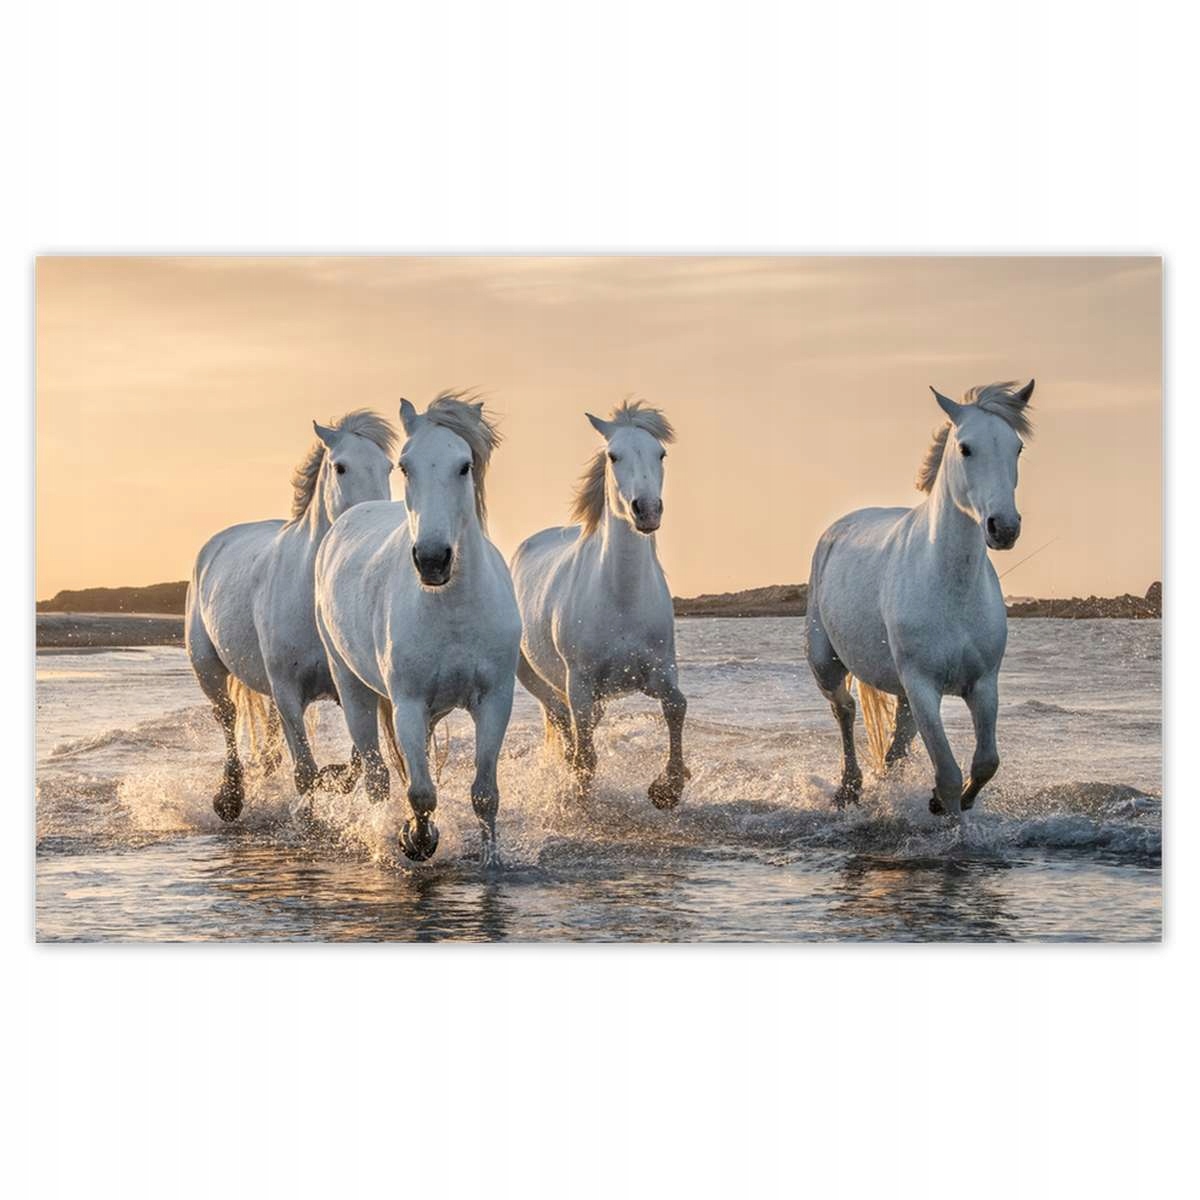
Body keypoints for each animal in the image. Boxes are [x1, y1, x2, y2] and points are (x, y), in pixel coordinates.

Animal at [186, 410, 397, 820]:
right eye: (340, 467)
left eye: (388, 467)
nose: (372, 521)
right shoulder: (287, 692)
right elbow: (305, 771)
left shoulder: (349, 687)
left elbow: (355, 761)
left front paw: (334, 779)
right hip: (208, 669)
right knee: (227, 717)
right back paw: (229, 799)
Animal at [314, 394, 521, 864]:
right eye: (405, 467)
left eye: (464, 465)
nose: (431, 559)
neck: (453, 610)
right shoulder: (407, 703)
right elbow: (421, 792)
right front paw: (416, 839)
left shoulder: (494, 700)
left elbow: (485, 793)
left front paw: (492, 860)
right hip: (352, 687)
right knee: (376, 775)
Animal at [510, 401, 689, 809]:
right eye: (613, 455)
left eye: (661, 453)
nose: (647, 510)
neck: (621, 598)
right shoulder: (580, 683)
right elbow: (585, 757)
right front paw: (581, 800)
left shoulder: (660, 671)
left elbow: (677, 706)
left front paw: (667, 788)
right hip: (539, 680)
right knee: (564, 725)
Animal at [806, 379, 1035, 816]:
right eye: (965, 448)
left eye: (1017, 448)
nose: (1004, 528)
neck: (950, 588)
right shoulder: (922, 686)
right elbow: (947, 774)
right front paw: (947, 814)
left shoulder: (983, 685)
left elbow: (985, 763)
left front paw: (944, 803)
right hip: (826, 664)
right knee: (844, 710)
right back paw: (849, 789)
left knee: (895, 744)